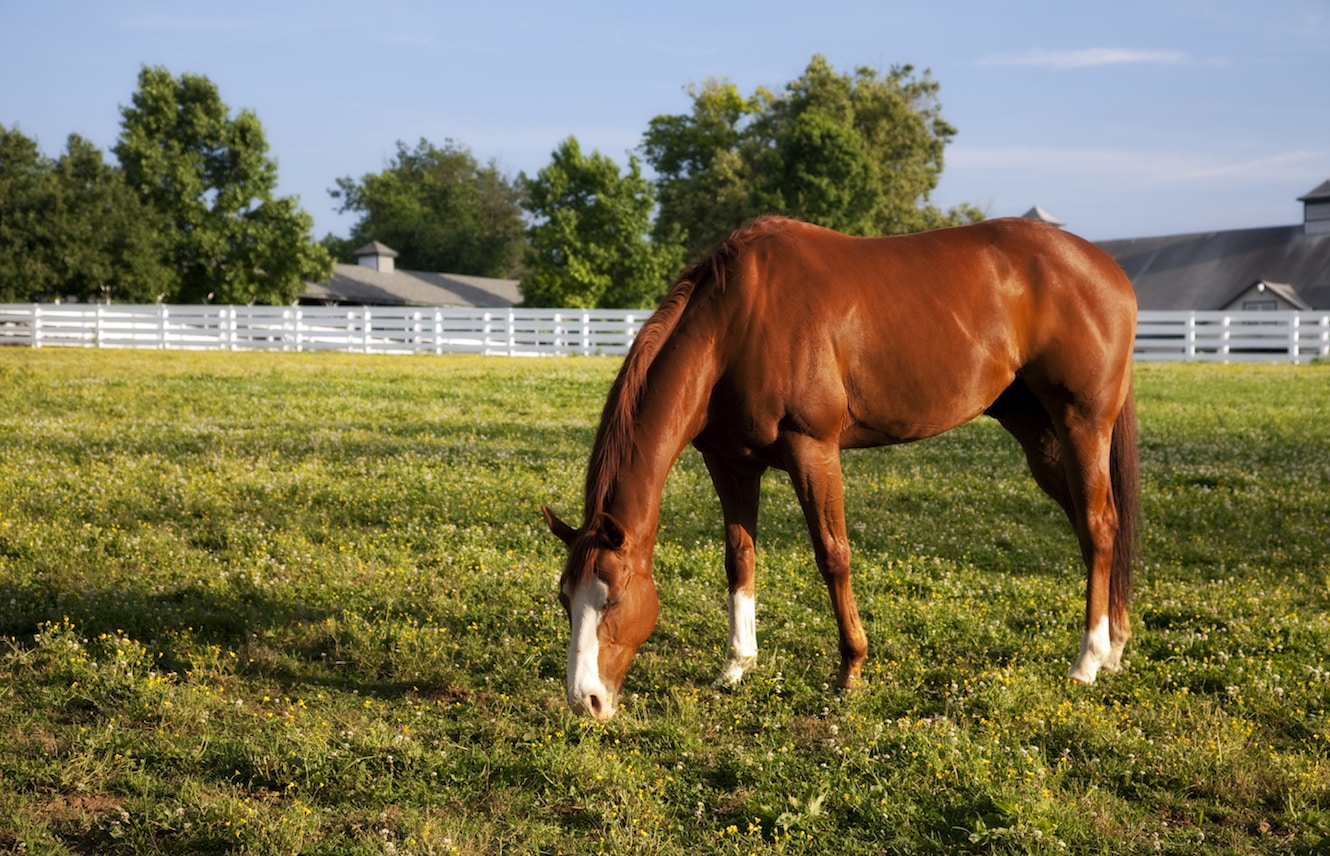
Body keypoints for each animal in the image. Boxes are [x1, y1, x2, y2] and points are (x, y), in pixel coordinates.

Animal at [542, 210, 1143, 717]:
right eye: (565, 599)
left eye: (613, 597)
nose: (586, 700)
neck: (737, 324)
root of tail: (1108, 270)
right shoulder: (731, 463)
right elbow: (740, 558)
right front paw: (737, 666)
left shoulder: (813, 450)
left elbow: (833, 555)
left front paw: (850, 669)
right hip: (1037, 431)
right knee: (1096, 524)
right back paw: (1114, 646)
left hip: (1082, 425)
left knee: (1097, 526)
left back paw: (1088, 661)